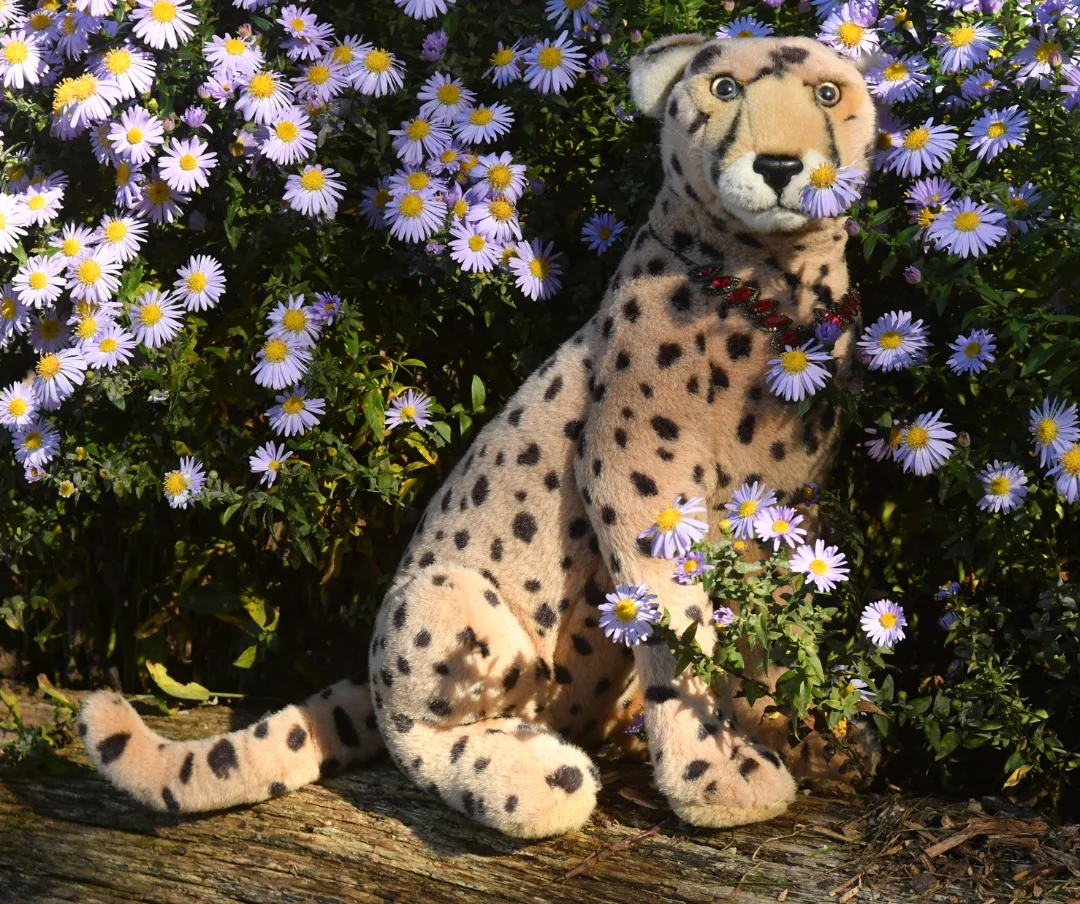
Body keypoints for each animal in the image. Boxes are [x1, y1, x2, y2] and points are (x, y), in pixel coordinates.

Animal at [78, 33, 877, 839]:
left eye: (829, 93)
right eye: (723, 87)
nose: (780, 165)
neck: (772, 289)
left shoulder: (788, 497)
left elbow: (772, 617)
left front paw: (805, 734)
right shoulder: (639, 477)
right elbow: (675, 625)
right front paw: (720, 774)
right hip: (448, 604)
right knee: (422, 733)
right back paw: (533, 776)